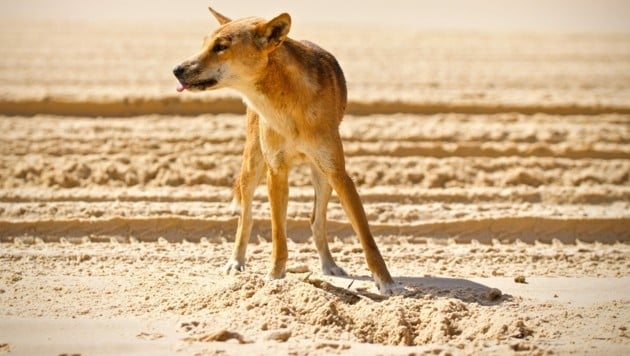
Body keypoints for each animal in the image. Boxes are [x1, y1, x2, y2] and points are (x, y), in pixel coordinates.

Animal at [174, 6, 404, 294]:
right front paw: (275, 277)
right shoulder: (276, 171)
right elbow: (278, 235)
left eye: (221, 47)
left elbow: (366, 237)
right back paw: (236, 262)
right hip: (252, 167)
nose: (176, 69)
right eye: (205, 43)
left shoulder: (339, 174)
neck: (286, 107)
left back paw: (329, 266)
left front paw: (386, 283)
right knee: (246, 218)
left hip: (322, 176)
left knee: (316, 221)